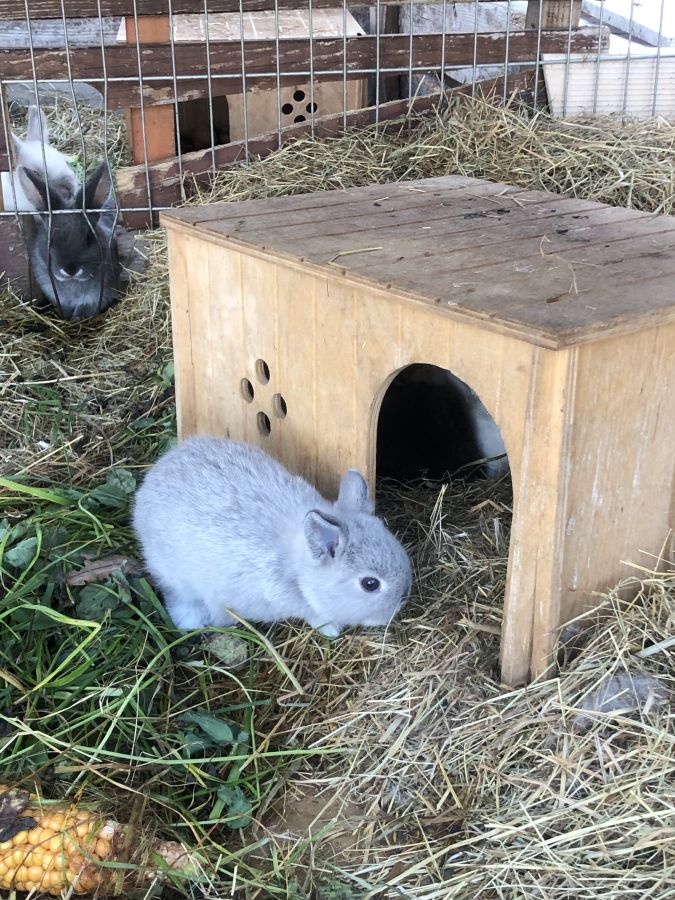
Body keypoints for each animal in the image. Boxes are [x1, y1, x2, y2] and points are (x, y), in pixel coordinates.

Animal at [132, 436, 413, 636]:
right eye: (370, 584)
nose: (403, 598)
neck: (299, 573)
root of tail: (149, 483)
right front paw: (331, 630)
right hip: (173, 573)